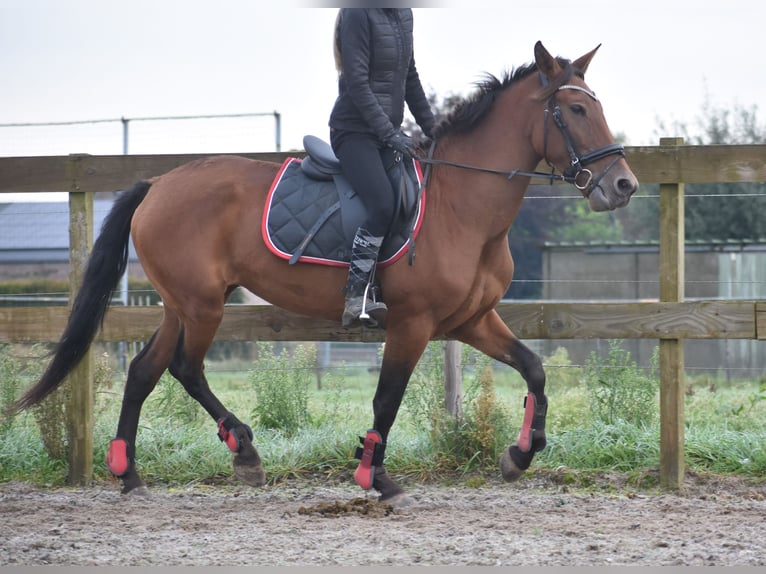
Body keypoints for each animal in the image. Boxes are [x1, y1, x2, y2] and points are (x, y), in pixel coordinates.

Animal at [12, 42, 640, 506]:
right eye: (576, 110)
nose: (624, 185)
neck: (462, 205)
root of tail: (158, 183)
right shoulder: (411, 324)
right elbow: (386, 399)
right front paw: (376, 478)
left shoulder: (472, 321)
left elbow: (534, 369)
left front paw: (520, 454)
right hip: (203, 305)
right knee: (185, 368)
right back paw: (242, 451)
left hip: (180, 303)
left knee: (145, 370)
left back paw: (131, 474)